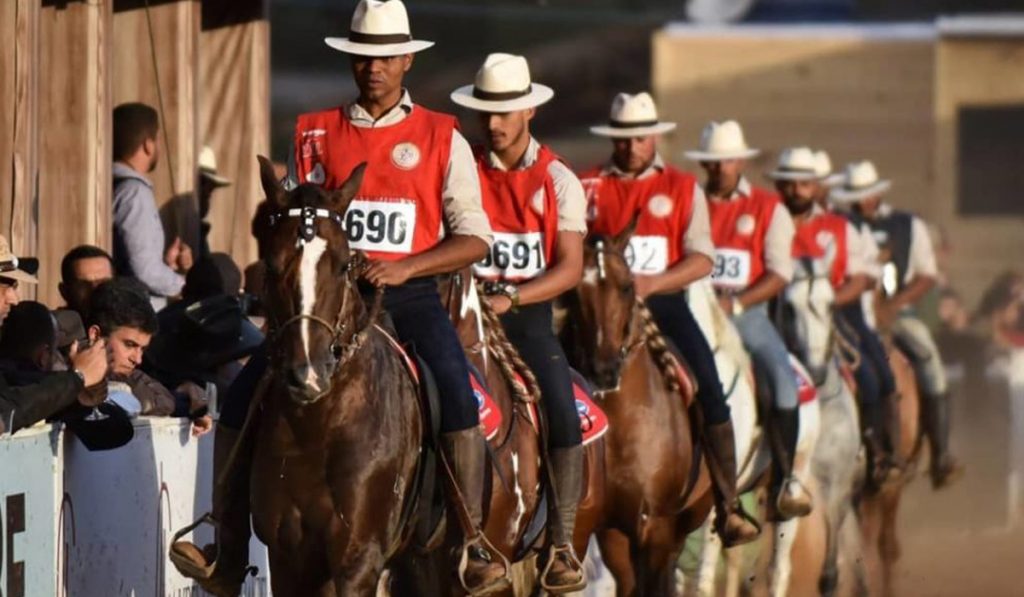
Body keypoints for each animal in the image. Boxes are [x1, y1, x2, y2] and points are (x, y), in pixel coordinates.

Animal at [249, 156, 421, 593]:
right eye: (271, 265)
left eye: (344, 265)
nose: (307, 374)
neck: (318, 426)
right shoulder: (289, 556)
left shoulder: (357, 557)